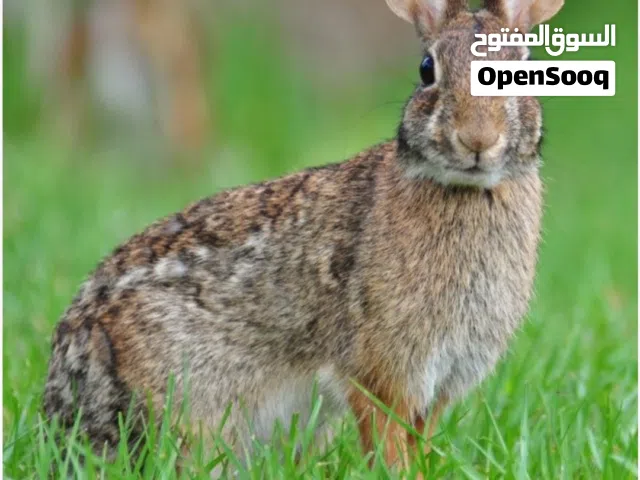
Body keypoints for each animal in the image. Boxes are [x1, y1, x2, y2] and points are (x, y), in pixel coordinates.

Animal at [43, 0, 564, 471]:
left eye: (525, 72)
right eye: (426, 69)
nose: (477, 139)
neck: (467, 190)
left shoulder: (441, 383)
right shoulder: (379, 373)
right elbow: (388, 444)